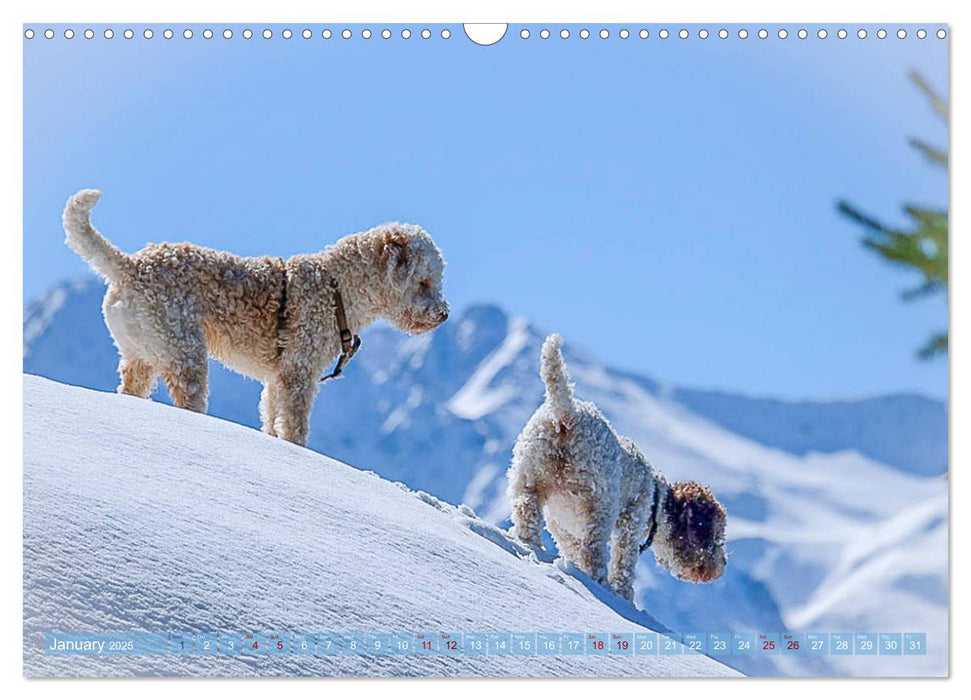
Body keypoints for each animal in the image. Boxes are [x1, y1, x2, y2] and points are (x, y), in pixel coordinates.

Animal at [62, 189, 450, 446]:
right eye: (424, 281)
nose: (444, 314)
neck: (338, 288)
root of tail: (130, 266)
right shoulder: (298, 374)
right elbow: (295, 426)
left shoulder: (278, 378)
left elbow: (272, 418)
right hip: (183, 351)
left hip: (140, 354)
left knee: (131, 387)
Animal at [508, 334, 728, 600]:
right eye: (715, 534)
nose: (722, 565)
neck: (657, 498)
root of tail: (566, 416)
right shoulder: (631, 521)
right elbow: (624, 562)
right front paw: (623, 595)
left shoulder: (560, 524)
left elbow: (570, 545)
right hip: (599, 505)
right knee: (594, 550)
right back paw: (600, 581)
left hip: (528, 476)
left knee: (526, 510)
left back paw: (529, 543)